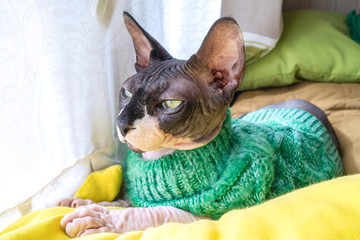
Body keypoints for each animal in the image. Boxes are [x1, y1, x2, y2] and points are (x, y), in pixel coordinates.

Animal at [57, 12, 342, 237]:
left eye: (170, 104)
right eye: (126, 92)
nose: (121, 123)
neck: (159, 159)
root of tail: (302, 103)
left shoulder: (213, 213)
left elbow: (158, 211)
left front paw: (99, 217)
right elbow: (125, 199)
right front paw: (87, 202)